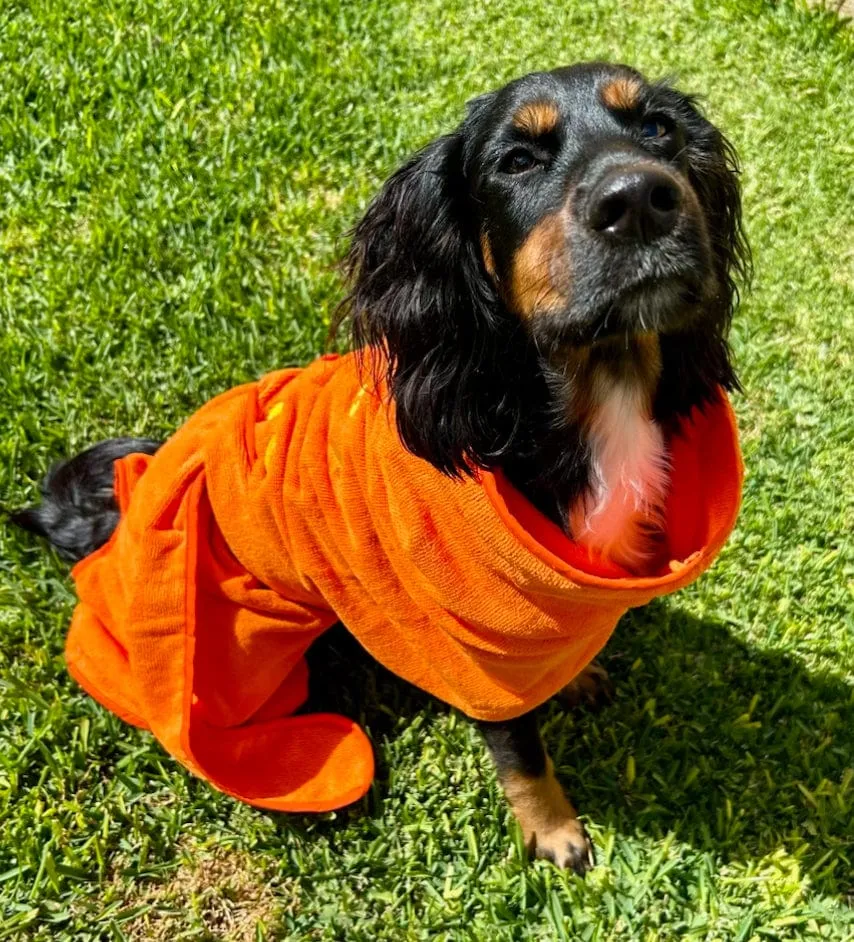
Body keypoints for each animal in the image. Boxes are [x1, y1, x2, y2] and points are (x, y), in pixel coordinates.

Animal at [11, 64, 748, 876]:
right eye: (517, 161)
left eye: (656, 128)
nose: (639, 198)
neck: (591, 387)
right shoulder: (479, 651)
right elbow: (521, 750)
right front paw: (554, 833)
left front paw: (578, 675)